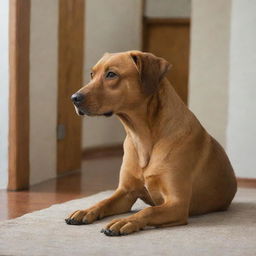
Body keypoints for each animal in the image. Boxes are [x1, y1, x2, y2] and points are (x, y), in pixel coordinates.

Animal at [67, 51, 237, 237]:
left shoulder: (178, 203)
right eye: (92, 74)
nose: (74, 98)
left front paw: (125, 221)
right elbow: (103, 201)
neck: (141, 136)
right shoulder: (126, 193)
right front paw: (86, 210)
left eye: (111, 74)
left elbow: (148, 210)